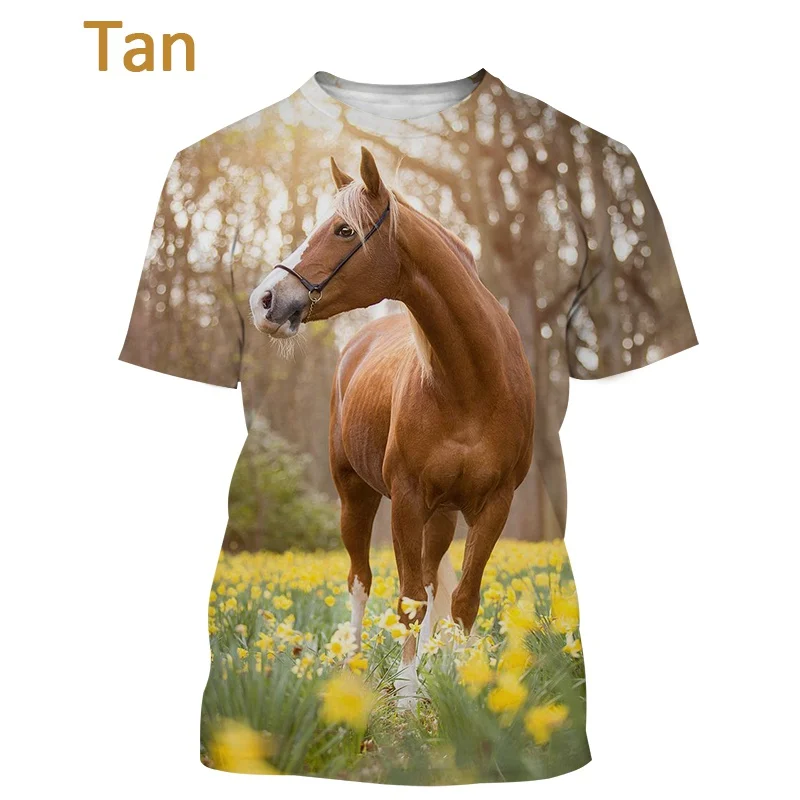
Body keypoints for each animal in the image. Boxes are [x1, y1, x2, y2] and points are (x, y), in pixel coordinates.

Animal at [249, 148, 535, 708]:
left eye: (343, 230)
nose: (265, 300)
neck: (471, 383)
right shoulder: (406, 498)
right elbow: (407, 598)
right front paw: (405, 695)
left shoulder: (494, 505)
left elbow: (461, 599)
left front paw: (461, 683)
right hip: (355, 495)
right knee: (360, 578)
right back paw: (356, 663)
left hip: (443, 515)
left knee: (433, 583)